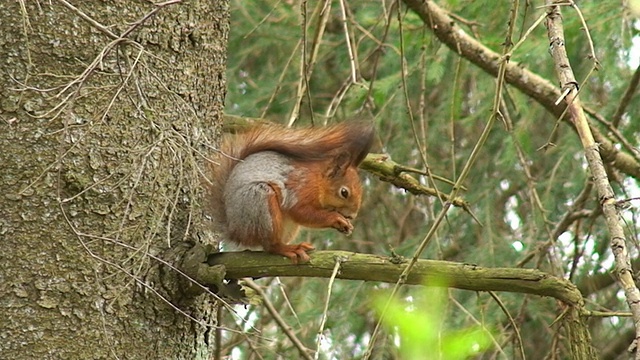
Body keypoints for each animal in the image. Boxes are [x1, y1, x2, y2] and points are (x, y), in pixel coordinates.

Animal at [208, 121, 372, 262]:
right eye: (344, 192)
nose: (352, 216)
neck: (318, 182)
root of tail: (235, 230)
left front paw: (347, 226)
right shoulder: (299, 189)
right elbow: (300, 212)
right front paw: (336, 218)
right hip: (261, 204)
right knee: (270, 246)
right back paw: (289, 249)